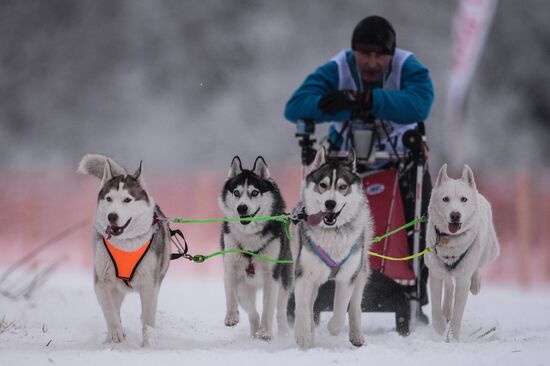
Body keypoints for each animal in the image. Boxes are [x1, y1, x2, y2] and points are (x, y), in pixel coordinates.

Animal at [76, 154, 169, 346]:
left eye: (127, 200)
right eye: (109, 199)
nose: (112, 216)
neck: (125, 244)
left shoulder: (150, 284)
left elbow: (148, 318)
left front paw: (148, 344)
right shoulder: (102, 281)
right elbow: (109, 309)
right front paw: (115, 333)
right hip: (116, 287)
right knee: (116, 306)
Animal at [219, 155, 296, 340]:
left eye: (254, 192)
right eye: (236, 192)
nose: (242, 207)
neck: (250, 237)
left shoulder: (271, 277)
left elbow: (268, 309)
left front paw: (266, 332)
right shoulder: (231, 270)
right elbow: (231, 296)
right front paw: (231, 316)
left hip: (284, 282)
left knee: (280, 310)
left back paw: (282, 333)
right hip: (245, 287)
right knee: (252, 312)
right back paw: (255, 332)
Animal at [294, 147, 376, 348]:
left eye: (342, 187)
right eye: (323, 185)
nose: (330, 203)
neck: (332, 233)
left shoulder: (347, 276)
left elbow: (341, 308)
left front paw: (333, 327)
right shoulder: (304, 273)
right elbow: (302, 305)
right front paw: (303, 334)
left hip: (361, 271)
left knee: (355, 305)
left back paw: (356, 335)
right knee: (309, 303)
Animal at [430, 164, 502, 342]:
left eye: (464, 199)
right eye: (445, 199)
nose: (455, 215)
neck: (450, 241)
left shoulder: (463, 280)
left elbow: (457, 316)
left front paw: (454, 339)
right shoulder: (435, 273)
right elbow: (435, 308)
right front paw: (440, 328)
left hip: (488, 252)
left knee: (477, 266)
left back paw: (475, 283)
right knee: (449, 283)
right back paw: (446, 309)